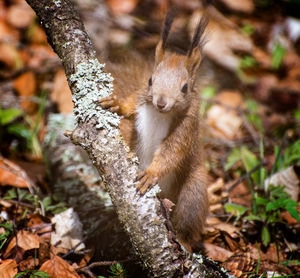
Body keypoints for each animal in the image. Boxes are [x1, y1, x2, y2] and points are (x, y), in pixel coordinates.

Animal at [100, 12, 209, 252]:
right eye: (150, 80)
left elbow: (171, 152)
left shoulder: (186, 129)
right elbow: (129, 105)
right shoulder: (140, 100)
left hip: (192, 192)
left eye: (185, 87)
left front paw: (151, 173)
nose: (160, 102)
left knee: (188, 218)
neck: (160, 115)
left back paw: (184, 241)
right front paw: (116, 104)